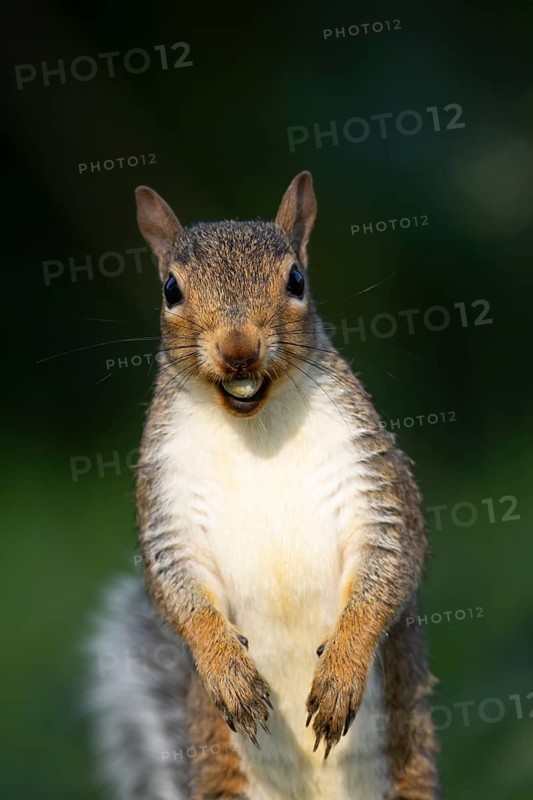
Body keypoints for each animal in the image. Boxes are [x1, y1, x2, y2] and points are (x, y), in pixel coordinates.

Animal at [87, 172, 439, 800]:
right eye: (170, 290)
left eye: (296, 280)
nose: (238, 349)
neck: (255, 429)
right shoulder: (168, 505)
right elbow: (178, 590)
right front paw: (228, 673)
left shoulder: (371, 482)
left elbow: (389, 563)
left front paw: (341, 673)